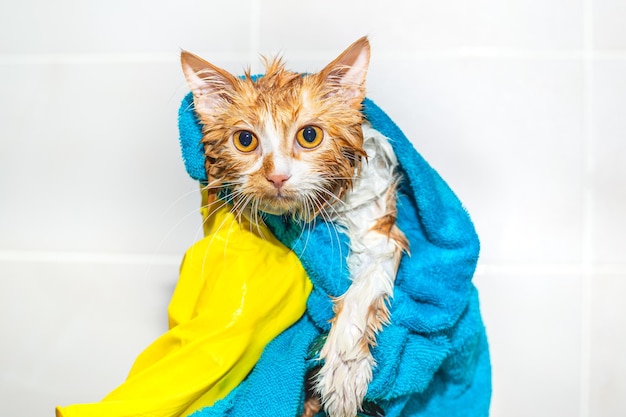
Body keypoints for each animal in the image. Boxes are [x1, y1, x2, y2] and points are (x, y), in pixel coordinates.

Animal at [178, 36, 408, 416]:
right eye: (245, 140)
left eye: (310, 135)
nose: (277, 177)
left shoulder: (379, 223)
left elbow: (363, 292)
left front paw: (345, 370)